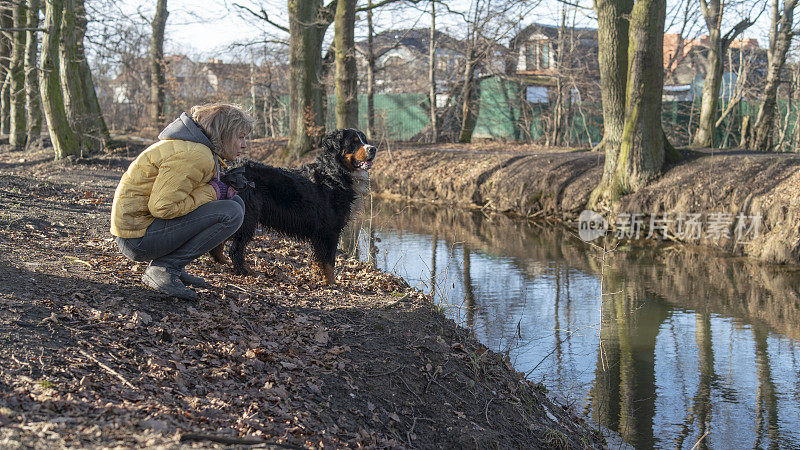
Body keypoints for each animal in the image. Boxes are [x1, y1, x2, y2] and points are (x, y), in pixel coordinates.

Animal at [211, 129, 376, 284]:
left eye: (364, 140)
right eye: (354, 142)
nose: (373, 149)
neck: (334, 174)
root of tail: (229, 170)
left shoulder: (320, 234)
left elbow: (319, 261)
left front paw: (320, 279)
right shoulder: (330, 231)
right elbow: (329, 262)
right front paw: (331, 283)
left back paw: (222, 262)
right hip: (248, 217)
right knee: (235, 249)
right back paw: (245, 271)